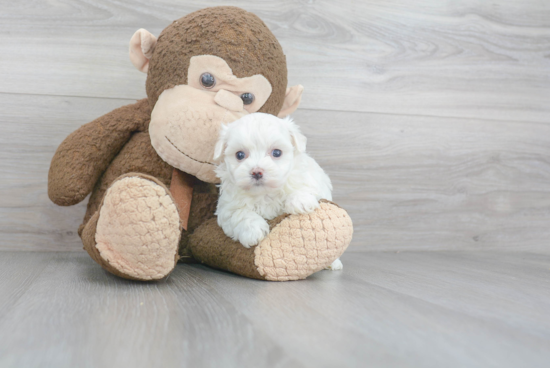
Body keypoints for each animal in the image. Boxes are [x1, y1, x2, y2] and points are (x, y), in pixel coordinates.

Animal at [213, 113, 342, 272]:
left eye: (276, 153)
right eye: (240, 155)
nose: (257, 172)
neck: (265, 193)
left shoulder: (311, 179)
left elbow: (305, 187)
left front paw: (300, 201)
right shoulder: (228, 207)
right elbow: (240, 214)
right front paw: (253, 231)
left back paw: (334, 264)